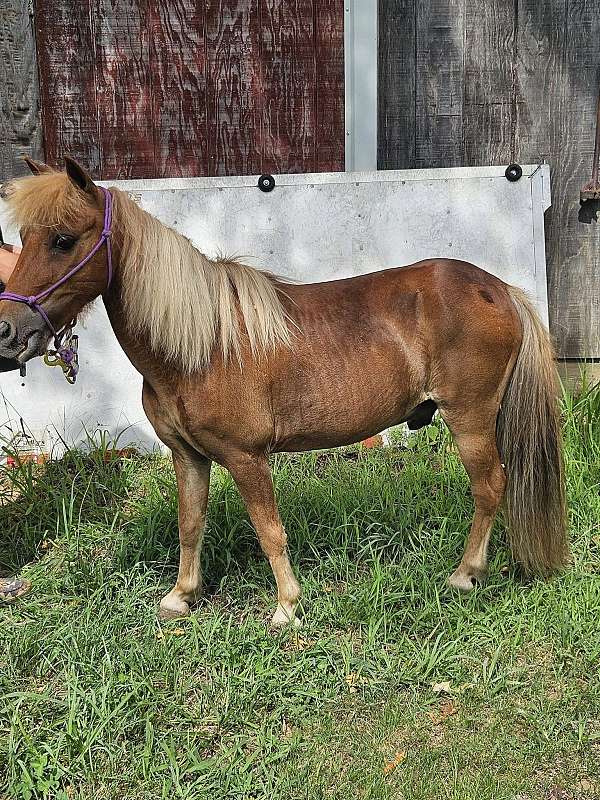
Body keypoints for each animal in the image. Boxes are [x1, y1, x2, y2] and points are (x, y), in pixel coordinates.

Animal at [0, 159, 568, 628]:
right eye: (23, 237)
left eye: (63, 240)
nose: (8, 331)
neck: (201, 344)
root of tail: (498, 289)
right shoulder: (188, 456)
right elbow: (191, 523)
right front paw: (182, 596)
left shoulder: (246, 457)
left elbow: (269, 530)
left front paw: (287, 607)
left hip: (470, 419)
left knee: (490, 487)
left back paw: (465, 573)